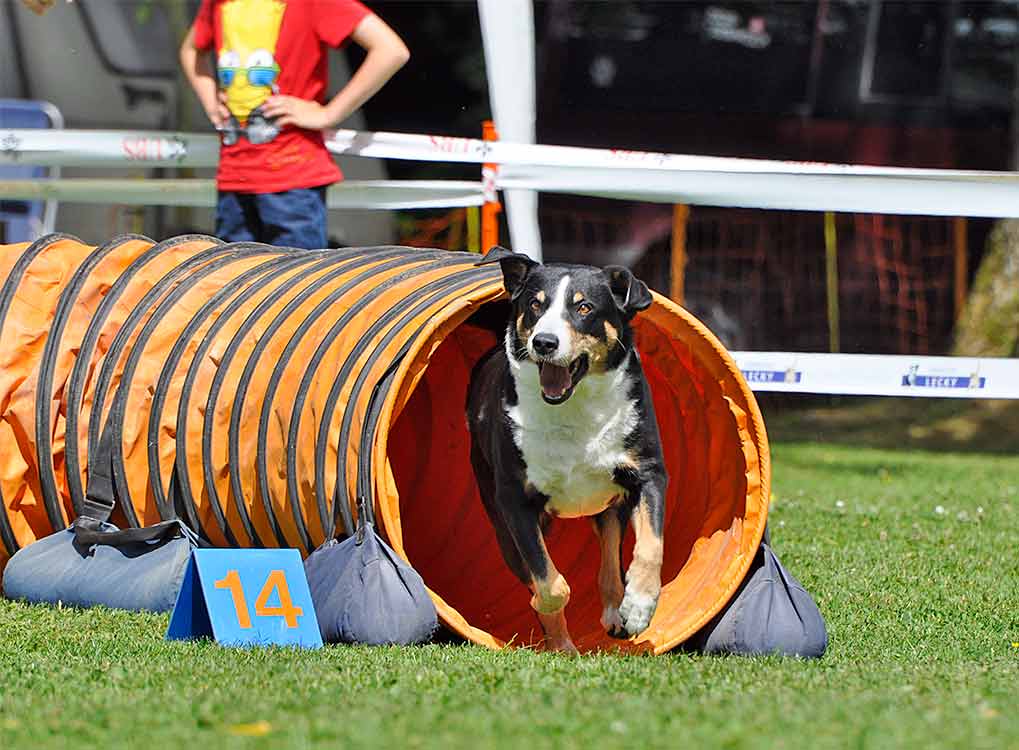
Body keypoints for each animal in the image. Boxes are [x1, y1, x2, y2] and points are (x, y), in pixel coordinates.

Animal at [466, 246, 668, 652]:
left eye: (584, 307)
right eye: (535, 305)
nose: (544, 342)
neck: (575, 408)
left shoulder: (647, 473)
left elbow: (651, 546)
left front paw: (639, 606)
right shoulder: (515, 501)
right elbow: (549, 584)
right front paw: (556, 632)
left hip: (610, 509)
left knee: (609, 565)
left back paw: (615, 614)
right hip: (500, 521)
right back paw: (562, 643)